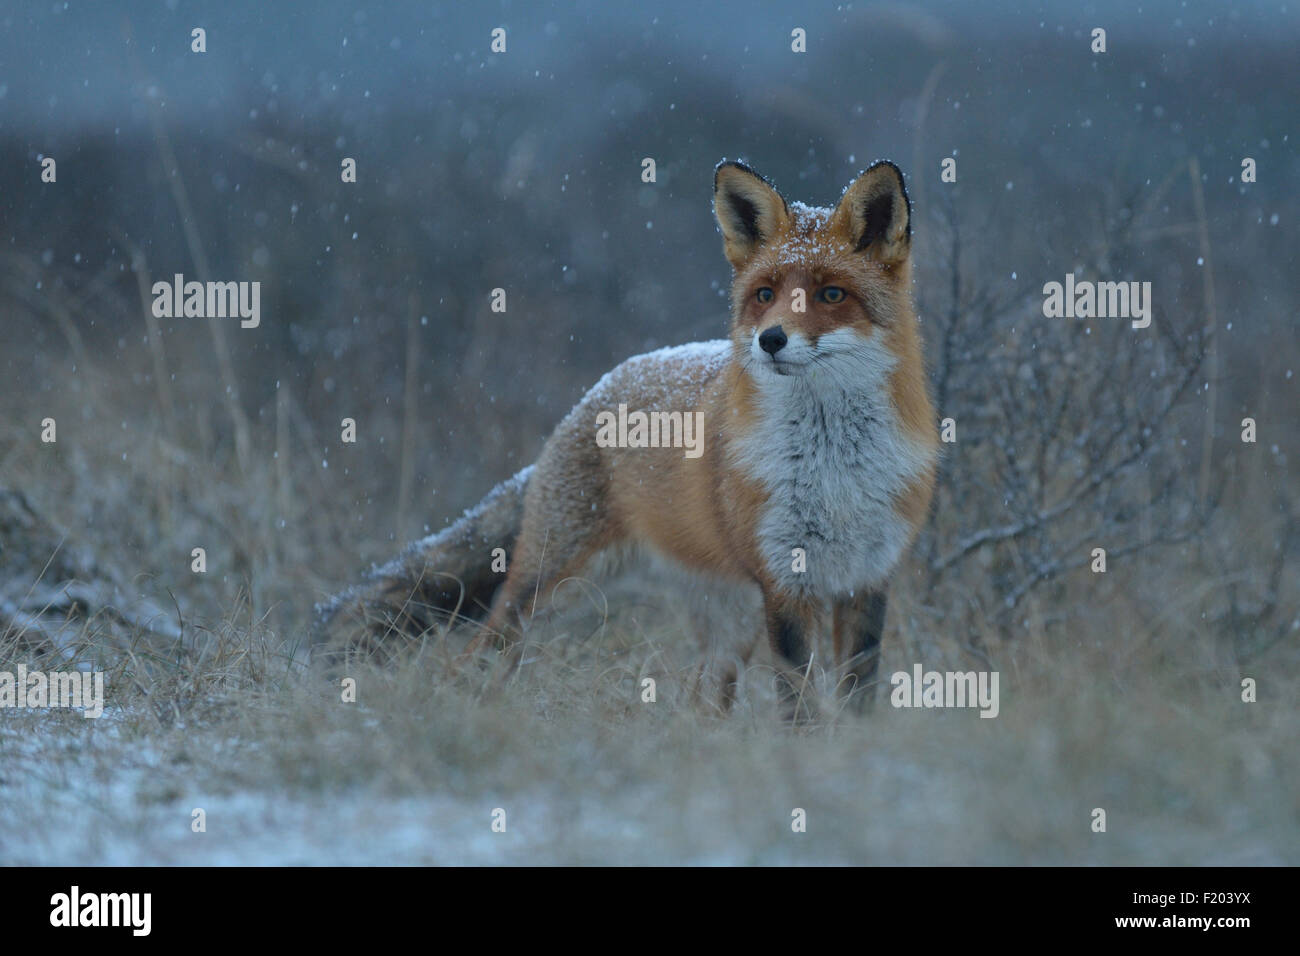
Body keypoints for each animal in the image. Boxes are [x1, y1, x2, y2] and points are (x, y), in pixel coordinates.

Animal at [319, 160, 941, 717]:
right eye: (765, 294)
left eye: (832, 295)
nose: (770, 340)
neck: (832, 468)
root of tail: (596, 390)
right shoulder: (786, 583)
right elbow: (800, 704)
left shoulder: (868, 578)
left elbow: (858, 694)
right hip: (556, 581)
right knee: (486, 645)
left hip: (731, 618)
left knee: (705, 699)